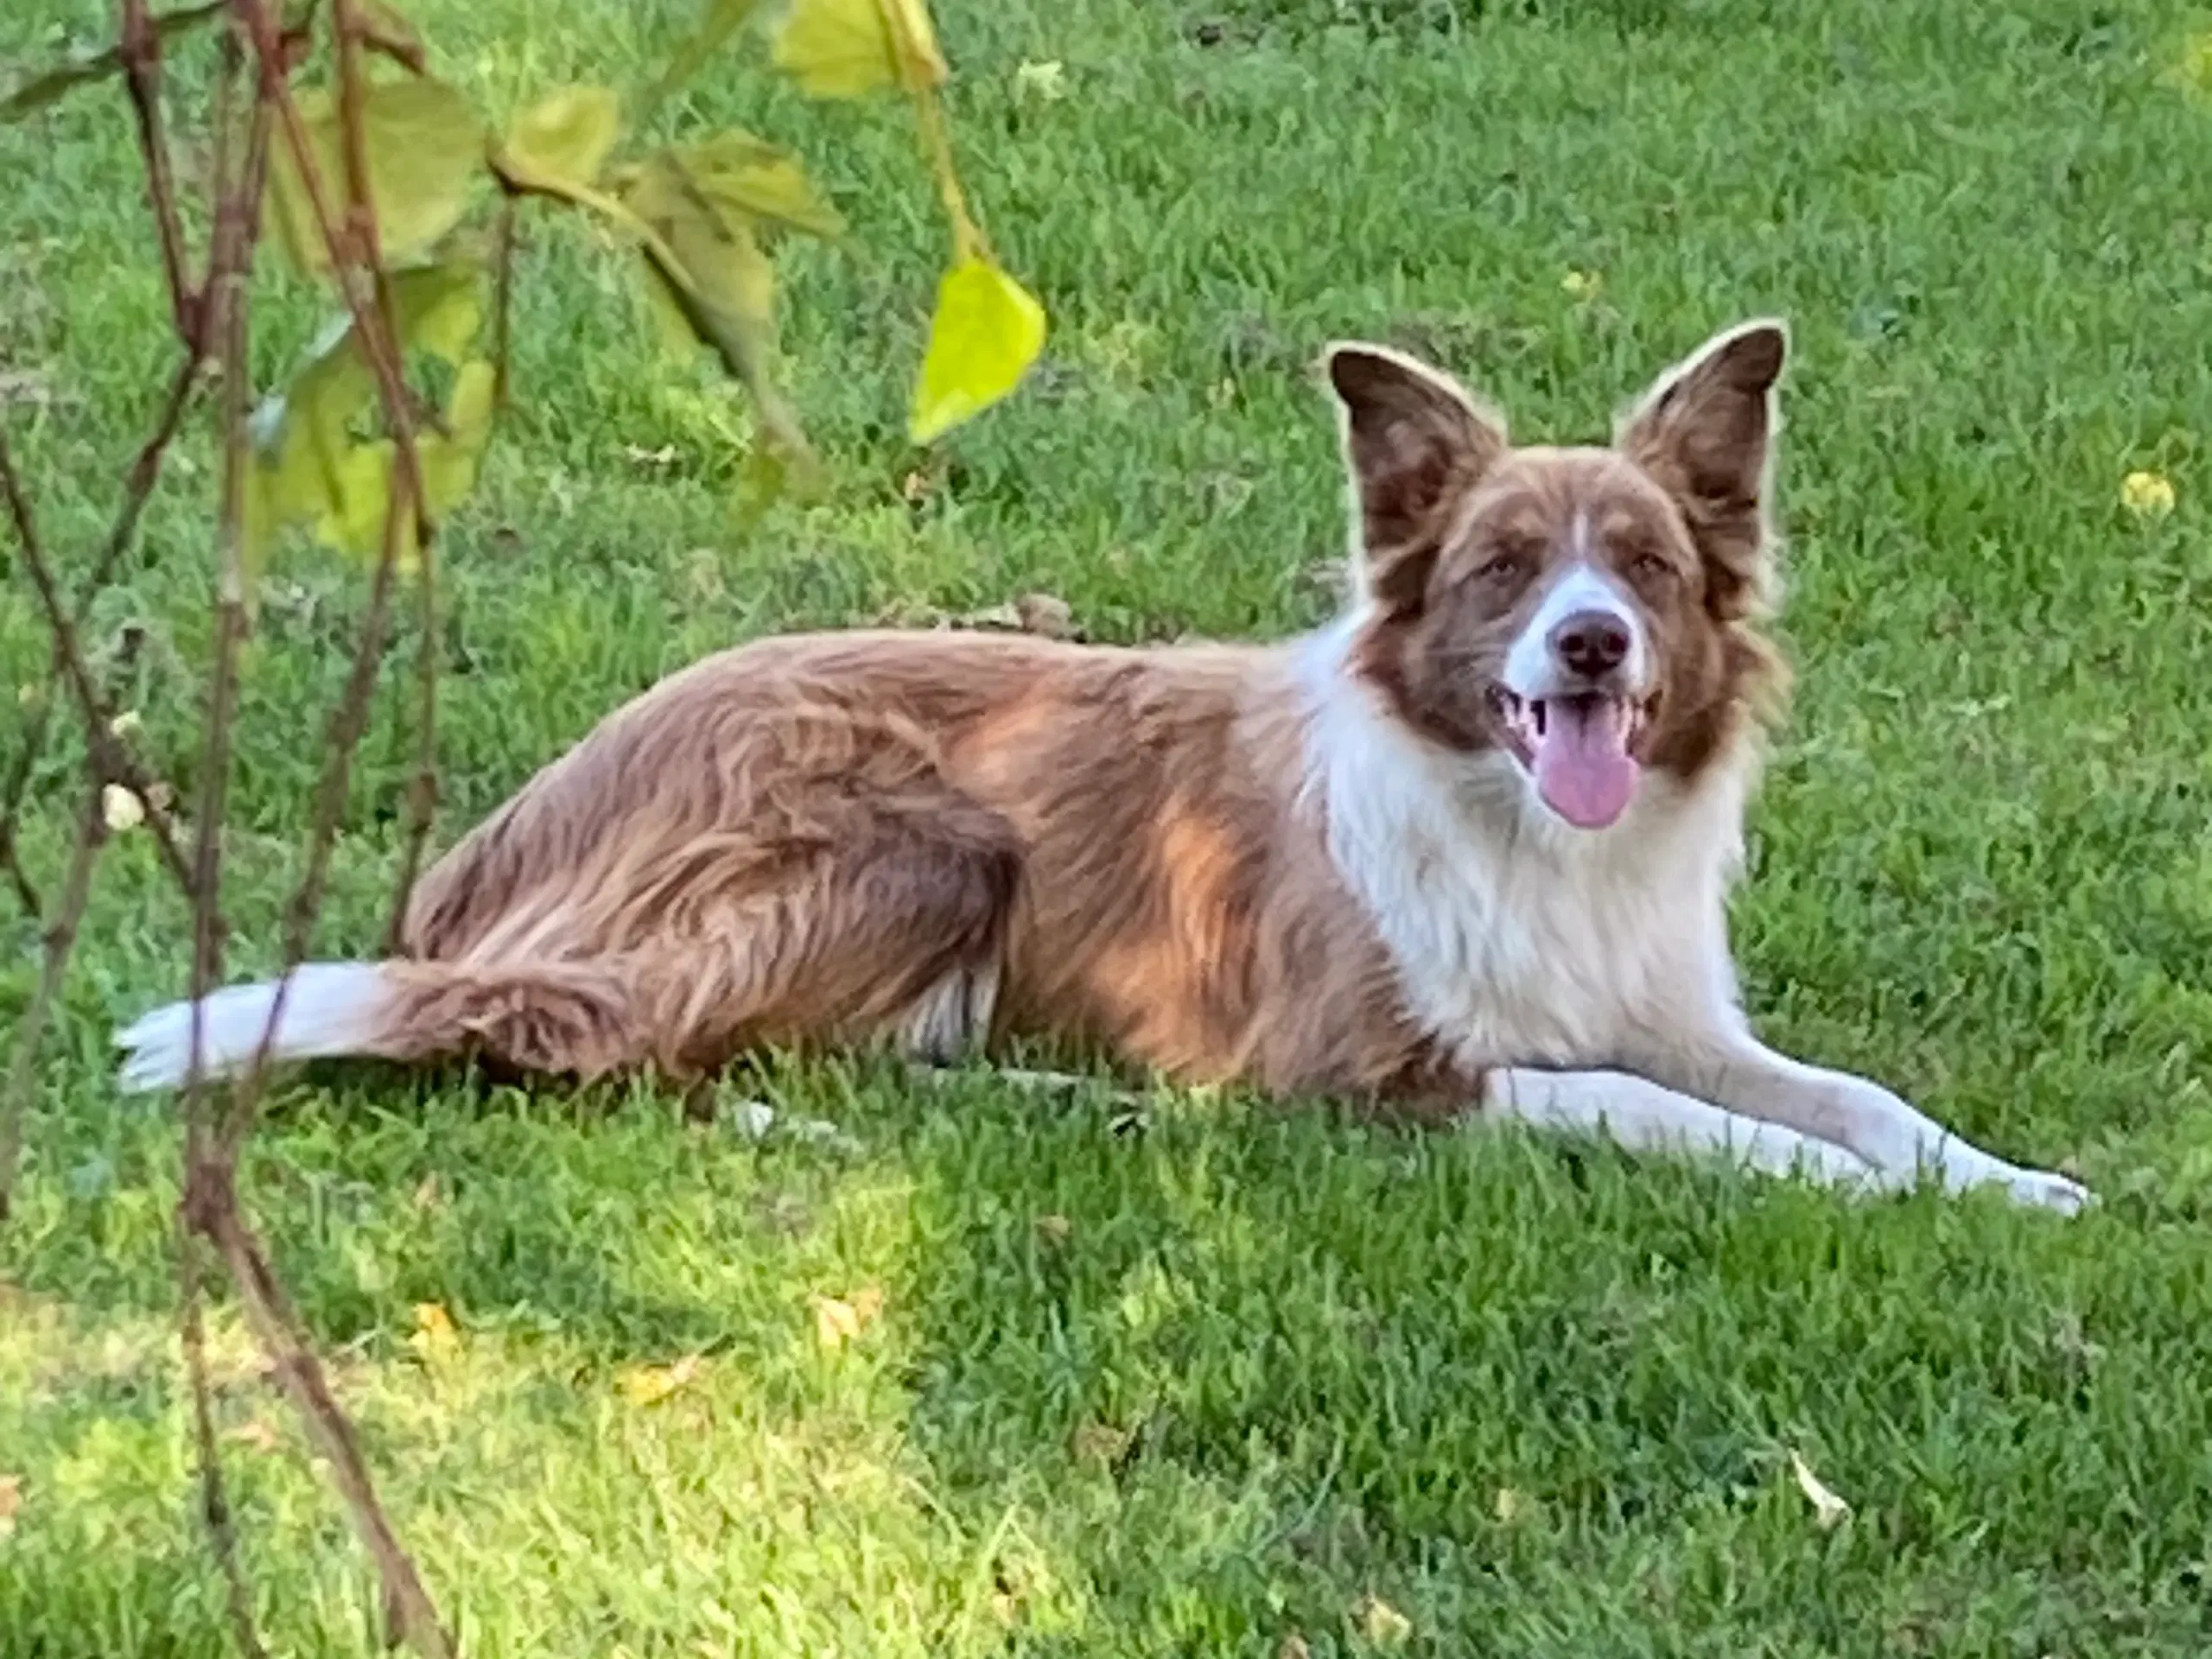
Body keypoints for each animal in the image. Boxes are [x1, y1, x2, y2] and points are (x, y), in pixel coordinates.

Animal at [121, 318, 2088, 1211]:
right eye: (1505, 572)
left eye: (1650, 571)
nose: (1590, 647)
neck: (1523, 833)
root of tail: (496, 841)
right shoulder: (1375, 1072)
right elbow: (1644, 1109)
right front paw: (1853, 1195)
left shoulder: (1666, 1003)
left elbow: (1850, 1098)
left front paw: (2005, 1184)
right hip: (914, 838)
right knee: (607, 1048)